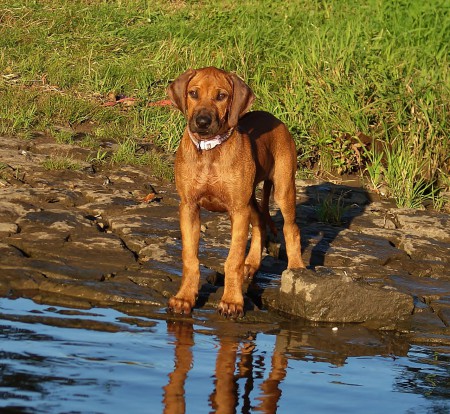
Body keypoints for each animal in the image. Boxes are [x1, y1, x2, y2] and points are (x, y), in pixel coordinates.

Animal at [167, 67, 304, 316]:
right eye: (193, 93)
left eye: (221, 96)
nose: (202, 122)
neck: (209, 151)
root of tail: (275, 119)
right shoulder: (189, 207)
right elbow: (190, 258)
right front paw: (184, 298)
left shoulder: (238, 211)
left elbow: (233, 260)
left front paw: (232, 301)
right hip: (250, 197)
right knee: (259, 221)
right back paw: (252, 263)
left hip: (283, 188)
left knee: (291, 228)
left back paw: (296, 268)